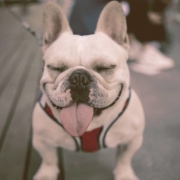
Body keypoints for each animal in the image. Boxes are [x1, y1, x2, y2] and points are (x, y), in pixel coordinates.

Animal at [32, 1, 145, 180]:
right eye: (56, 67)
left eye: (106, 67)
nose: (79, 78)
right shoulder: (42, 140)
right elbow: (48, 159)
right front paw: (46, 174)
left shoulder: (132, 139)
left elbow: (124, 159)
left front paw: (125, 174)